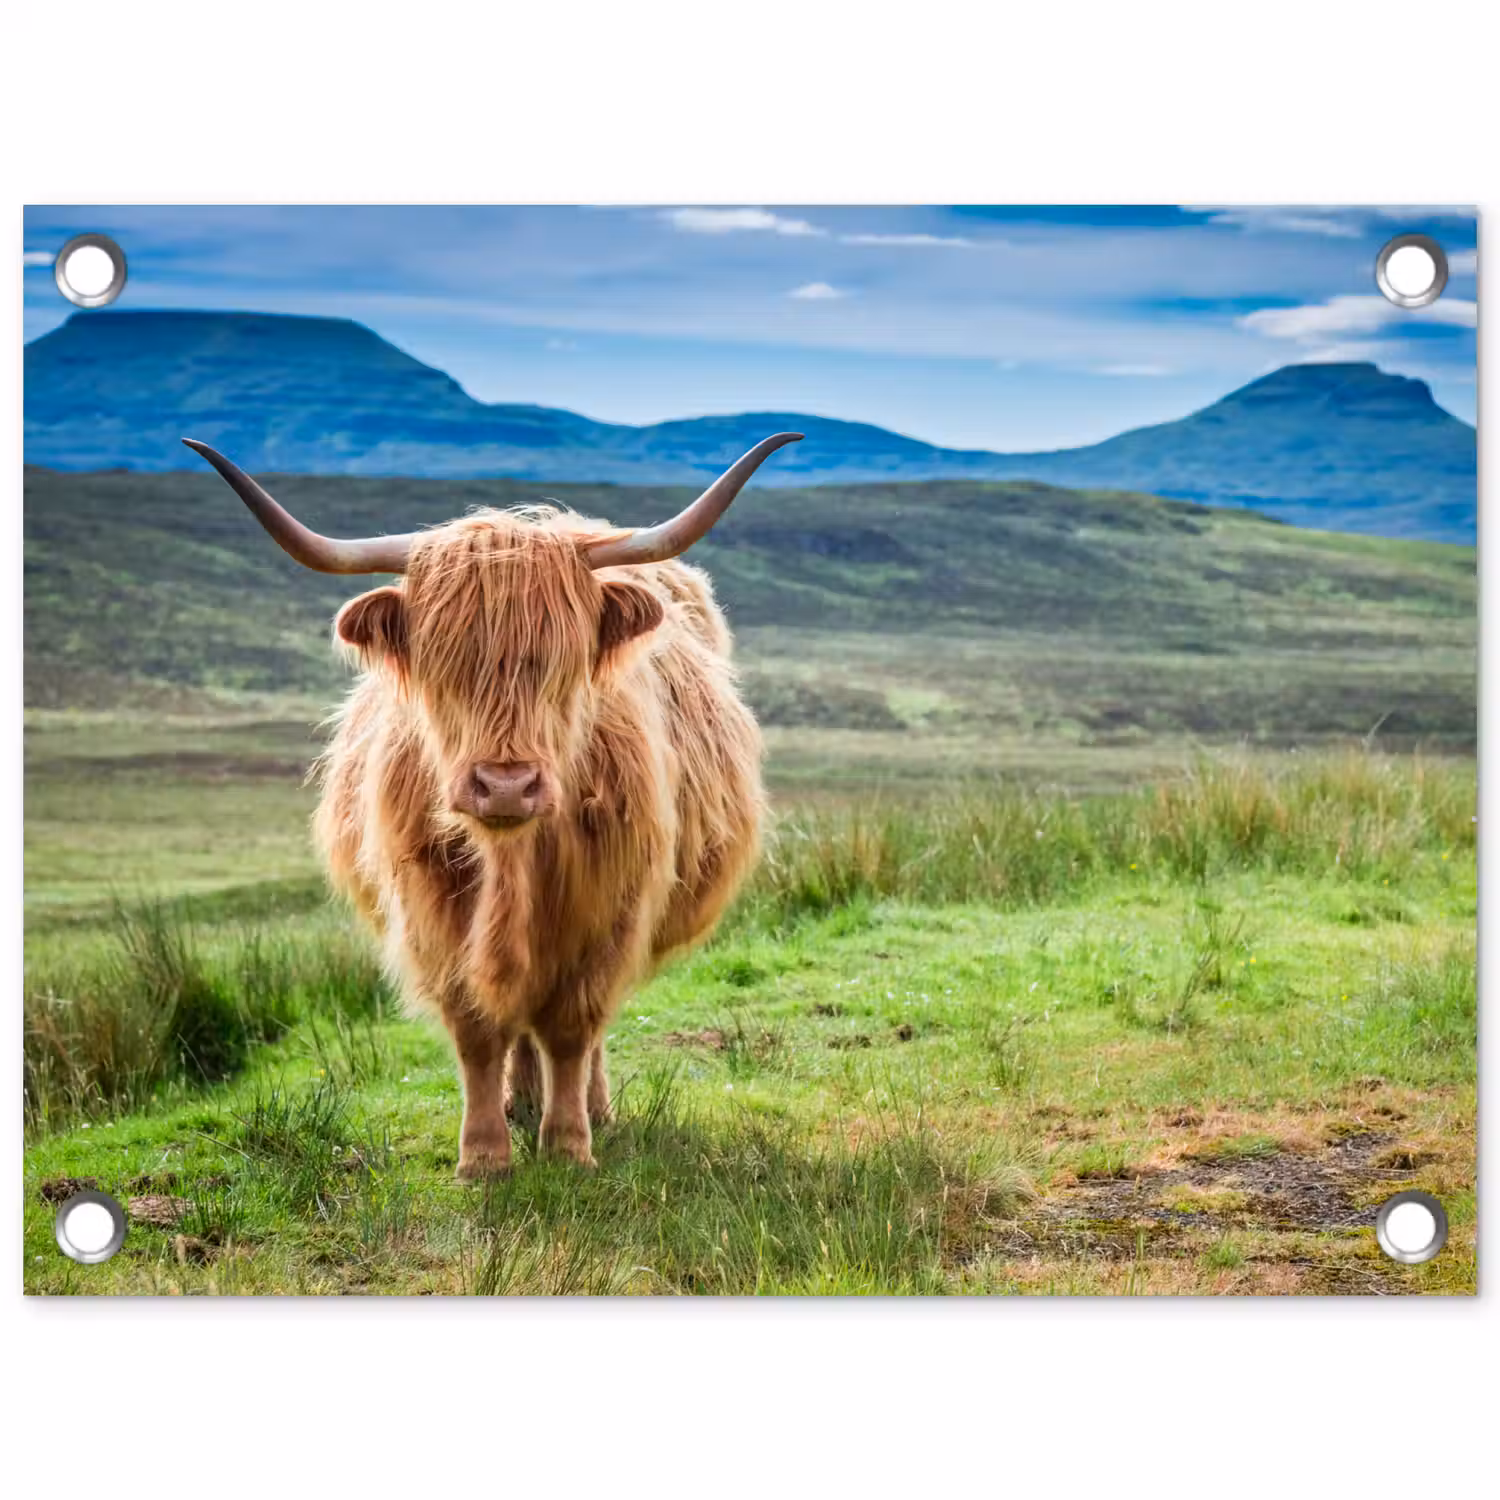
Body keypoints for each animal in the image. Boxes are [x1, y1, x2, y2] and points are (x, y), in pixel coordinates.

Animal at [184, 433, 800, 1177]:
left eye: (562, 661)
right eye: (442, 662)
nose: (506, 785)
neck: (513, 860)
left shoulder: (609, 910)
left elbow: (572, 1027)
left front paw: (567, 1145)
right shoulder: (433, 911)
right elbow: (478, 1029)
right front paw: (483, 1155)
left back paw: (588, 1107)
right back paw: (520, 1100)